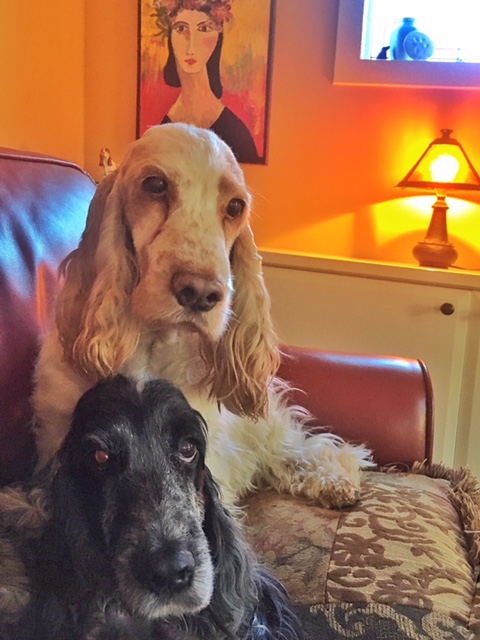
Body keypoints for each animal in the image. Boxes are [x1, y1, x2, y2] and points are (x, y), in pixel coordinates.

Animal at [33, 122, 373, 509]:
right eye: (155, 184)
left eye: (236, 206)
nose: (201, 293)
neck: (153, 348)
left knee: (298, 446)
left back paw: (332, 479)